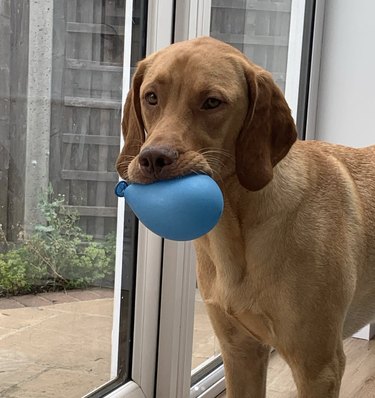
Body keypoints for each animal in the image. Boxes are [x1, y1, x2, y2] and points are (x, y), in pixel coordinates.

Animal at [117, 36, 375, 394]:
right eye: (151, 97)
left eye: (212, 102)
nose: (153, 158)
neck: (235, 228)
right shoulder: (240, 352)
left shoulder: (318, 367)